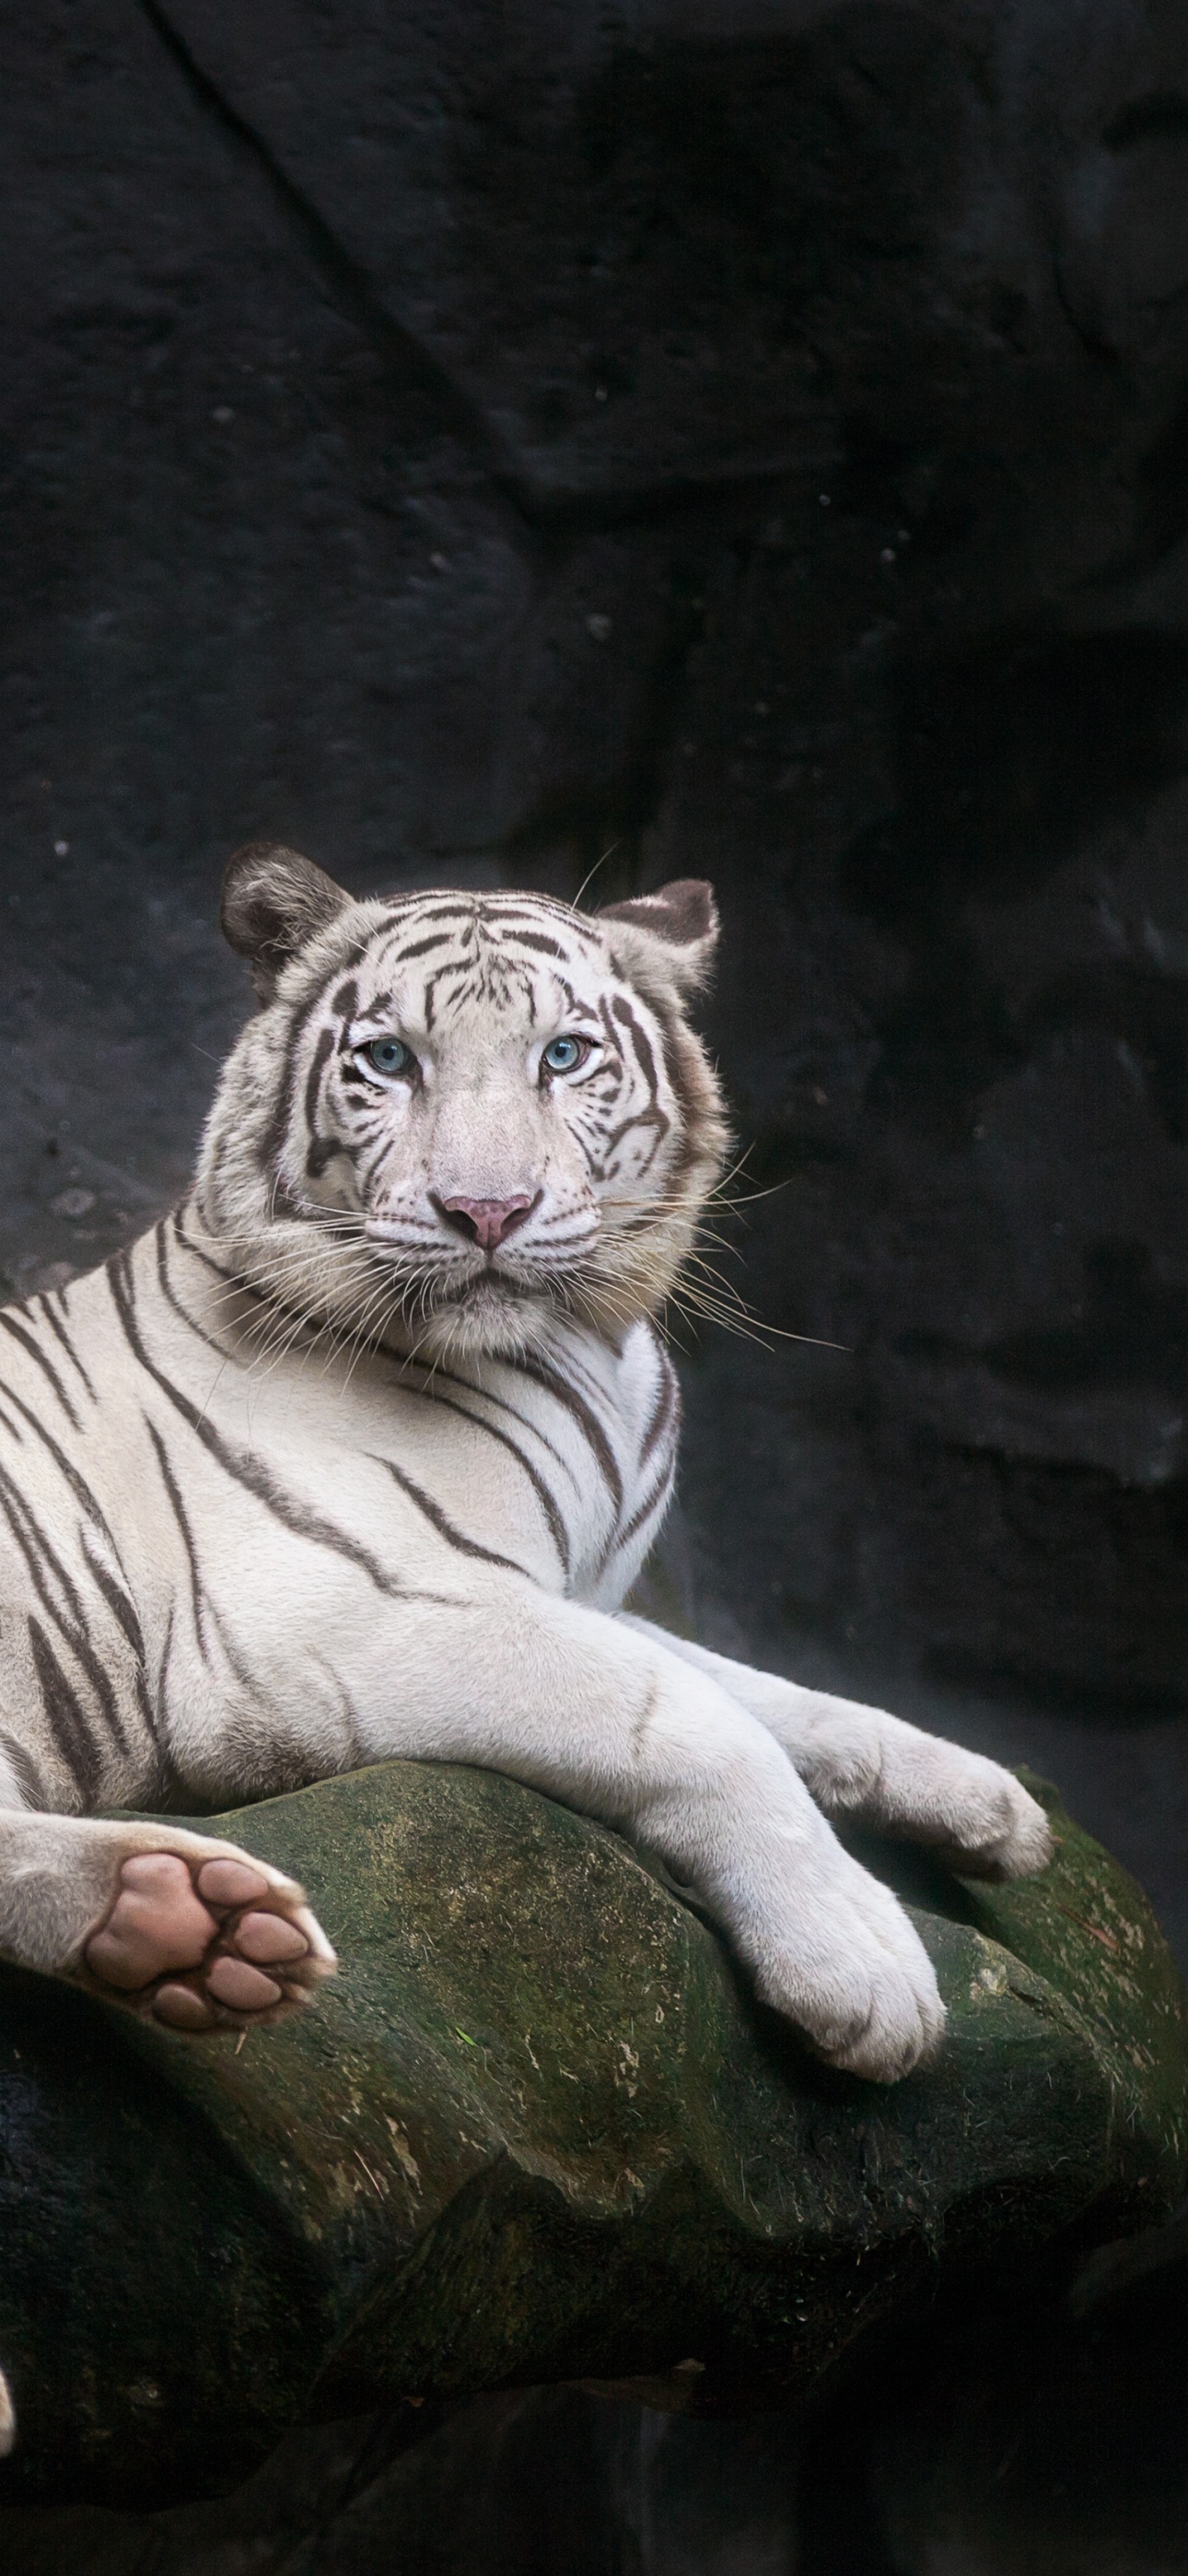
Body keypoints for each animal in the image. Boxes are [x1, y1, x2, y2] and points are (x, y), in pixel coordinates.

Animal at [0, 844, 1050, 2079]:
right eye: (389, 1061)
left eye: (563, 1055)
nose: (487, 1210)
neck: (585, 1344)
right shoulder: (343, 1611)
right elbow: (695, 1717)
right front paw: (864, 1967)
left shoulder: (575, 1590)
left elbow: (774, 1693)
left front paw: (985, 1800)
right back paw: (179, 1920)